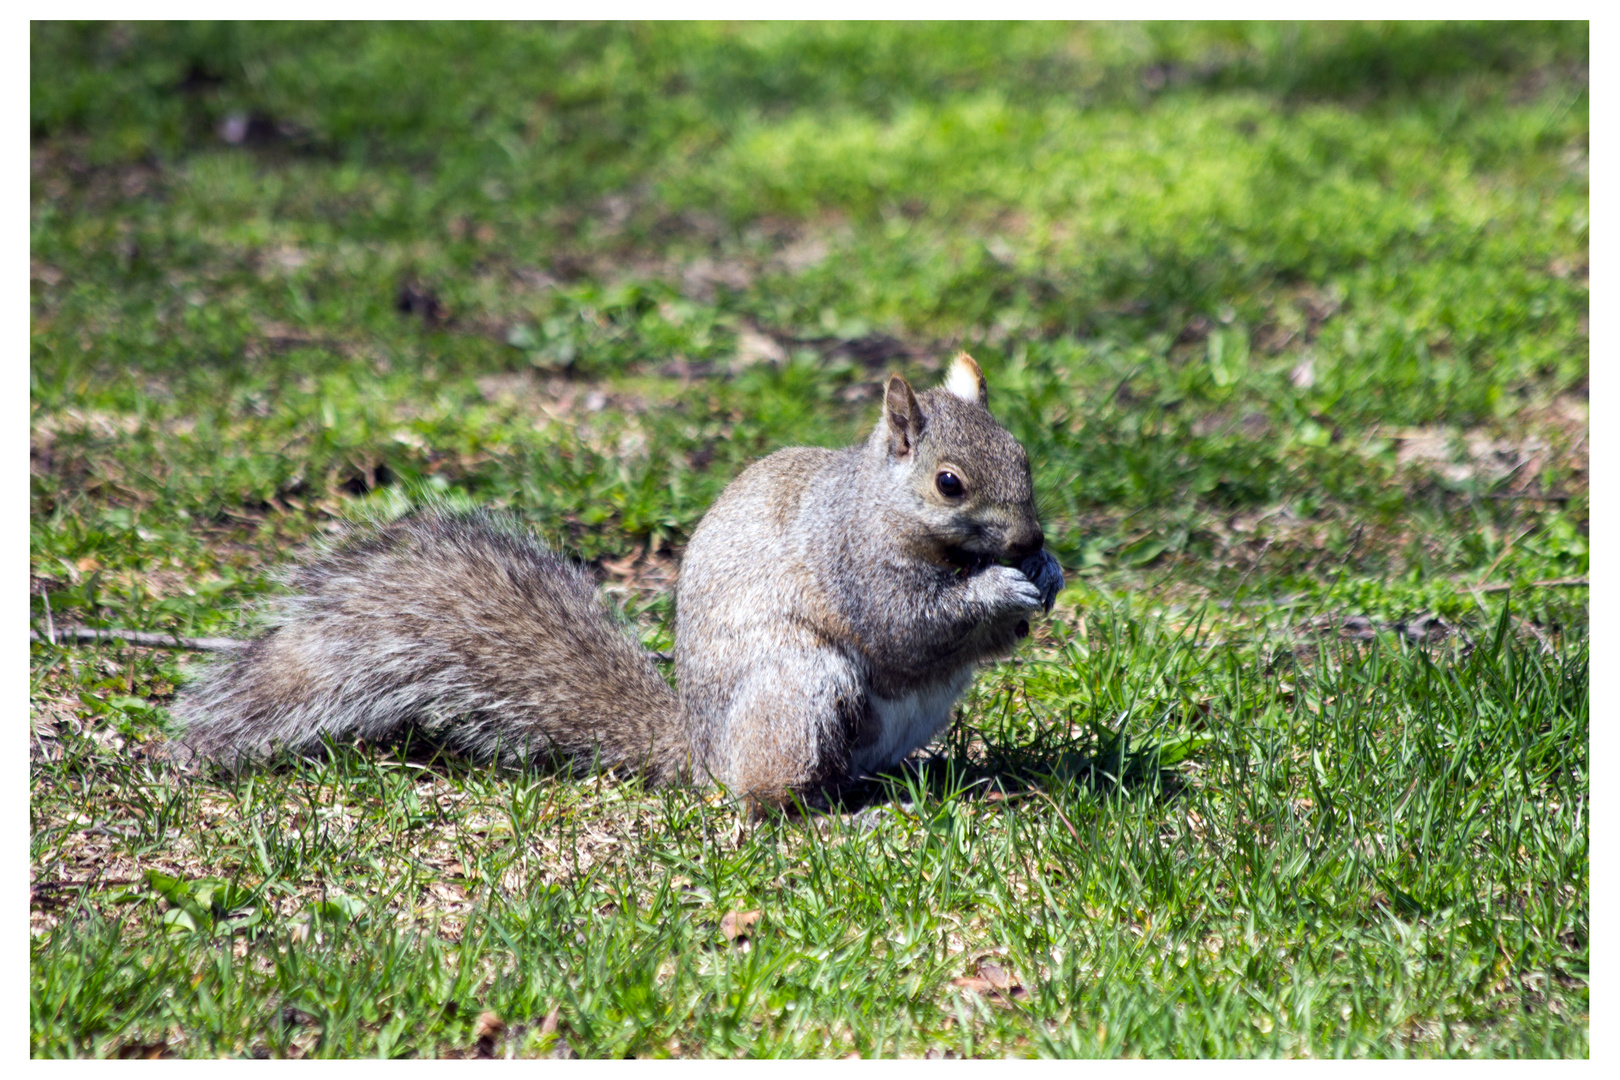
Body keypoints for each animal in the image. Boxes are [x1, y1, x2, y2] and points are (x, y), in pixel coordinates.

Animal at [177, 354, 1062, 809]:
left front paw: (1045, 576)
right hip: (798, 685)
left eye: (1025, 457)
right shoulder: (852, 564)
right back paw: (829, 815)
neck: (882, 505)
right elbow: (905, 625)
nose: (1031, 538)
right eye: (949, 483)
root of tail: (700, 753)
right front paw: (1001, 590)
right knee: (767, 795)